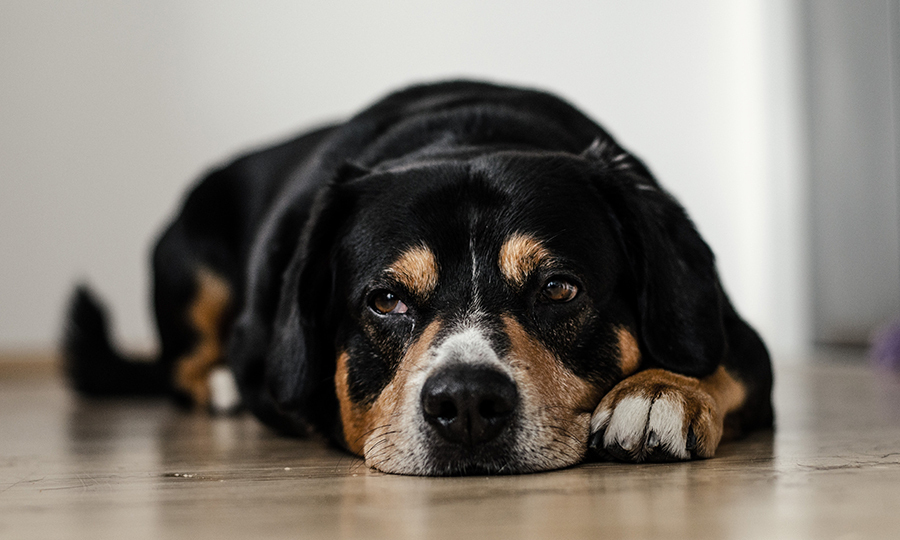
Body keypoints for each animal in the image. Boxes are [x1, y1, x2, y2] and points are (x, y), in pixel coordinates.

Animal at [63, 81, 768, 476]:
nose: (467, 404)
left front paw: (658, 393)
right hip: (191, 264)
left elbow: (720, 363)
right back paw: (220, 385)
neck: (466, 136)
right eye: (386, 300)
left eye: (558, 289)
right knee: (181, 364)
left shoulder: (736, 334)